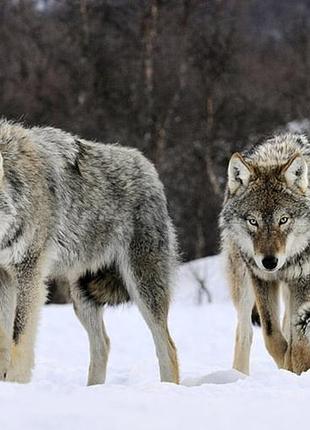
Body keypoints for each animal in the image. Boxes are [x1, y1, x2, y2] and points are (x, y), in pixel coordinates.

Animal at [0, 119, 179, 384]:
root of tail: (149, 168)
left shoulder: (29, 274)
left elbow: (19, 338)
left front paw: (15, 384)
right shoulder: (4, 276)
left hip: (142, 287)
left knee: (168, 347)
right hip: (82, 294)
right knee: (103, 344)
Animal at [220, 133, 310, 374]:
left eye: (283, 220)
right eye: (253, 221)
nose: (270, 262)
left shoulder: (303, 280)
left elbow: (299, 345)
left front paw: (297, 370)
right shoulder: (261, 278)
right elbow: (272, 337)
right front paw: (287, 367)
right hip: (243, 284)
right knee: (244, 332)